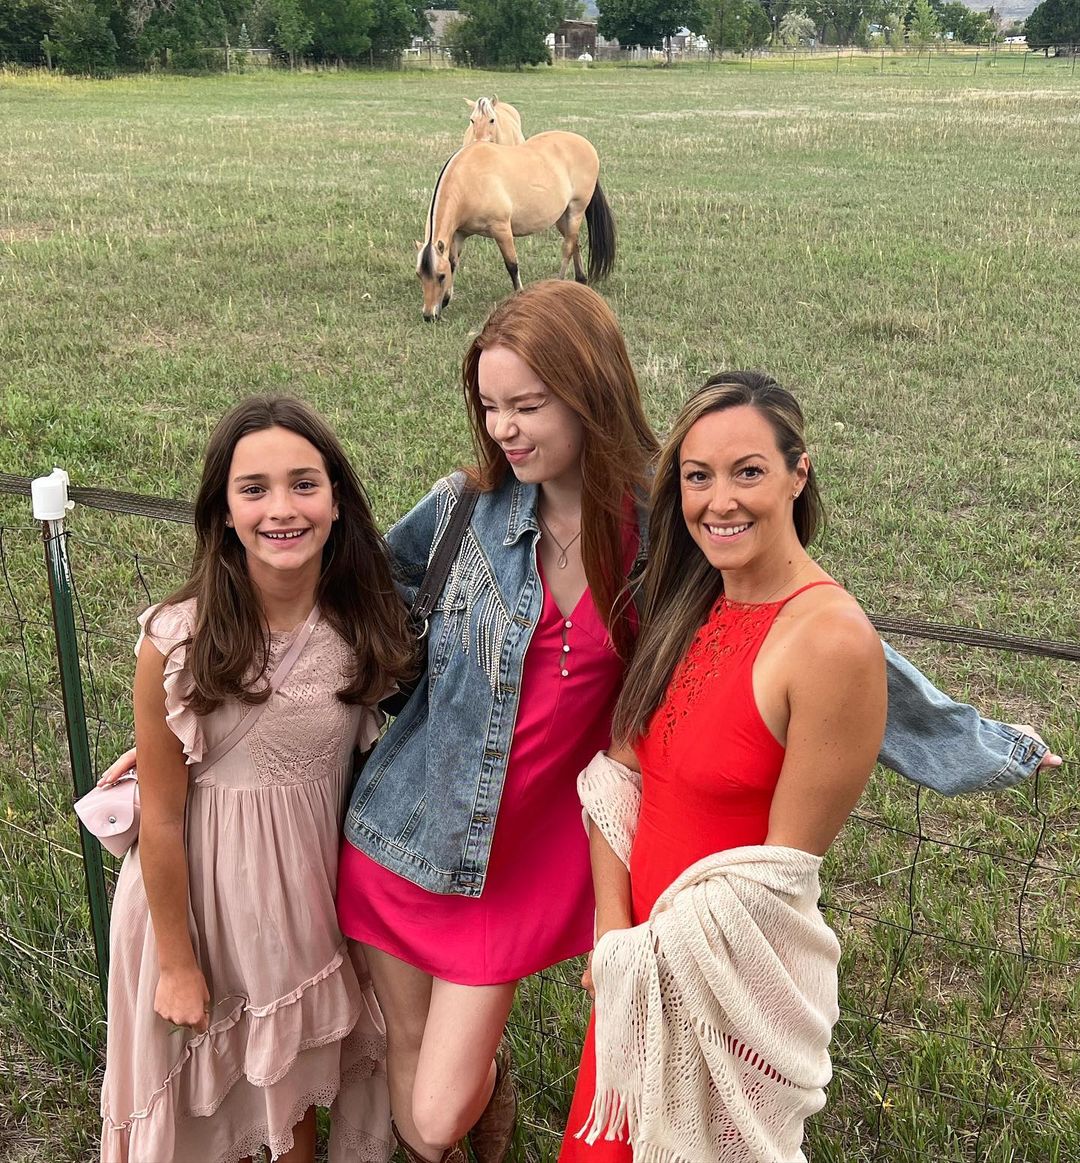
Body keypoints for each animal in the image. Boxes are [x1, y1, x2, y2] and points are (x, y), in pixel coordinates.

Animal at [415, 131, 616, 322]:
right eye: (419, 275)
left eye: (440, 276)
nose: (429, 316)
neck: (469, 179)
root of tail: (586, 145)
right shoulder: (459, 234)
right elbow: (453, 263)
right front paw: (447, 299)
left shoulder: (502, 230)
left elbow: (512, 266)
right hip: (562, 217)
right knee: (575, 243)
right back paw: (580, 280)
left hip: (576, 210)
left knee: (567, 248)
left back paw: (558, 283)